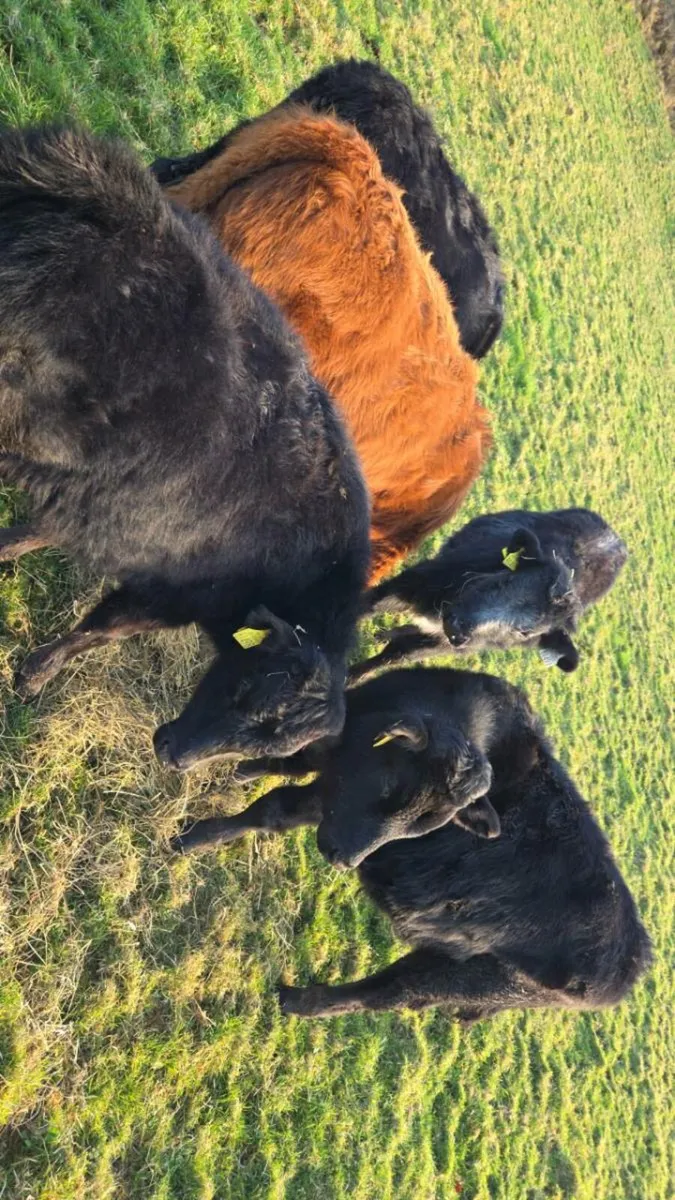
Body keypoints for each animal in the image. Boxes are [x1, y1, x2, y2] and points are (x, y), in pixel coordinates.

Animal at [0, 124, 370, 765]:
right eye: (249, 686)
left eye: (261, 753)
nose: (173, 756)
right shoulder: (170, 595)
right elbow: (101, 627)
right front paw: (35, 673)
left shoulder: (107, 511)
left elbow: (40, 533)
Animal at [174, 668, 651, 1022]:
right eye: (391, 787)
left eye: (426, 826)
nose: (342, 859)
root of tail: (628, 963)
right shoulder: (330, 786)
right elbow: (284, 772)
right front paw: (243, 774)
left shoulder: (326, 804)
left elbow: (269, 810)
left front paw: (190, 837)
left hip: (456, 977)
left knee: (387, 994)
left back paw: (298, 1001)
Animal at [350, 508, 628, 681]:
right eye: (505, 582)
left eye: (524, 632)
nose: (458, 629)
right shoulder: (411, 584)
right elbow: (366, 605)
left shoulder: (447, 646)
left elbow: (396, 655)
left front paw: (352, 678)